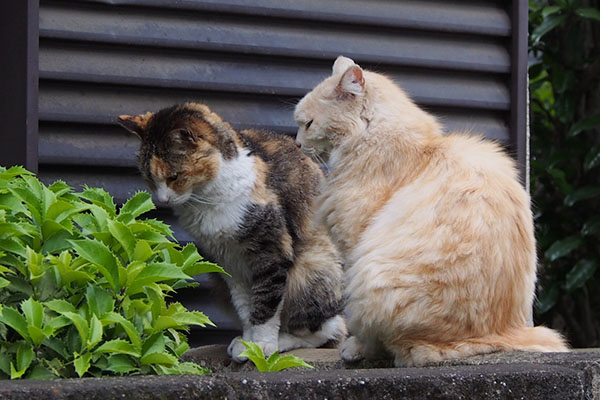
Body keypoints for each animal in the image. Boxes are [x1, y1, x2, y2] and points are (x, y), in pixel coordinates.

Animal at [117, 101, 346, 360]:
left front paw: (262, 345)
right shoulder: (229, 263)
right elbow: (246, 307)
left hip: (310, 269)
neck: (208, 199)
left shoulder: (271, 251)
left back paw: (284, 341)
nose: (162, 200)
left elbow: (266, 304)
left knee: (330, 331)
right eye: (149, 179)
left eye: (174, 176)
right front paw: (248, 343)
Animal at [294, 55, 568, 366]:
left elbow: (361, 330)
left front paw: (356, 349)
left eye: (308, 124)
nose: (297, 143)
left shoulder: (354, 246)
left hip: (372, 277)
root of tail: (503, 331)